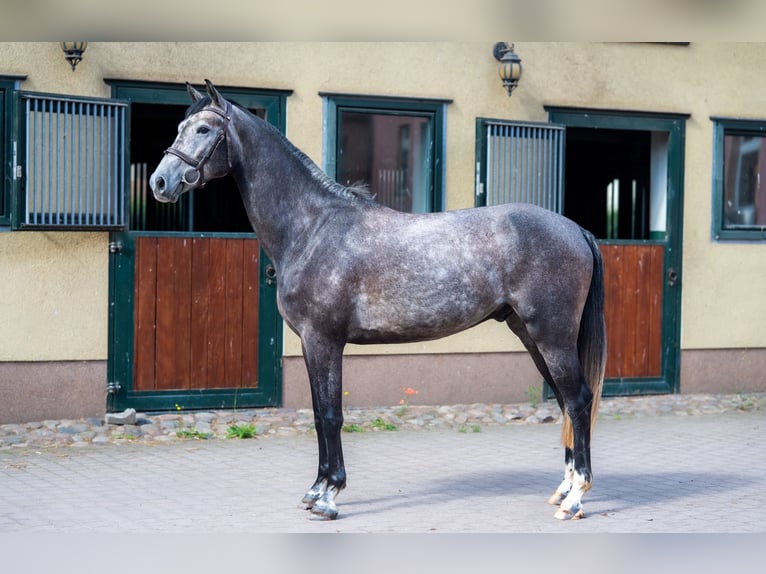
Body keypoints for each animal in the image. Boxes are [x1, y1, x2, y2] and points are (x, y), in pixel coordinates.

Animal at [149, 80, 607, 521]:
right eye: (180, 128)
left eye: (204, 129)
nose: (160, 183)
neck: (312, 228)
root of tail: (575, 230)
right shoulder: (309, 343)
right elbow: (318, 413)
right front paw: (315, 490)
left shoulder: (324, 340)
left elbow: (331, 415)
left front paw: (329, 497)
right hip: (531, 335)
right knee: (566, 401)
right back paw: (564, 489)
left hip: (552, 337)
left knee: (578, 400)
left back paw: (575, 499)